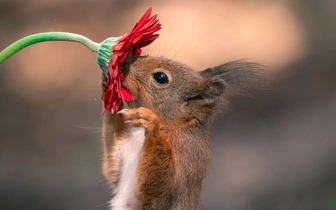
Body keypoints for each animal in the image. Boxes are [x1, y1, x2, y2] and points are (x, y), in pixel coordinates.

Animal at [100, 55, 268, 210]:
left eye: (161, 77)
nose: (123, 66)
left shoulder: (187, 156)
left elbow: (160, 193)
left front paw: (151, 124)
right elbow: (112, 171)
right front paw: (107, 85)